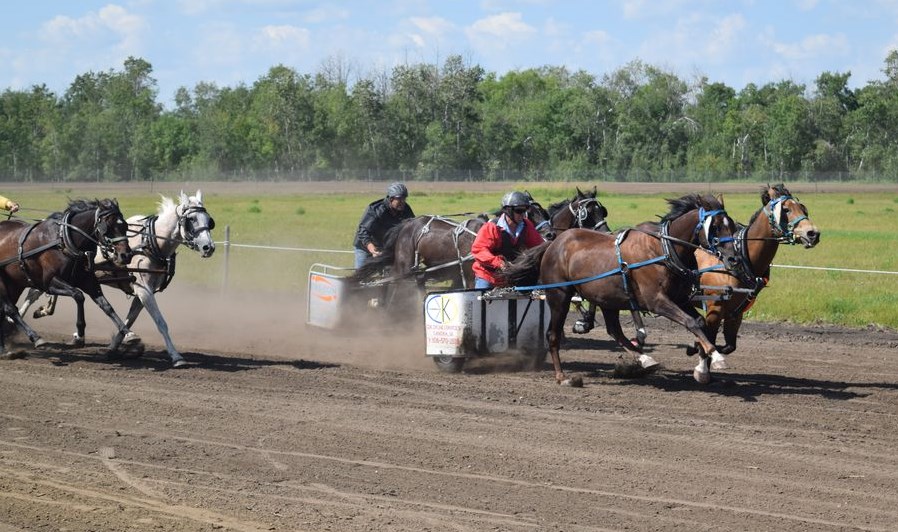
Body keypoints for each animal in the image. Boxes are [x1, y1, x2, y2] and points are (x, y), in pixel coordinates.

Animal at [0, 198, 133, 358]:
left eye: (125, 225)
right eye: (108, 226)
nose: (126, 255)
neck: (64, 240)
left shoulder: (87, 280)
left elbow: (106, 306)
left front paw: (128, 333)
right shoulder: (50, 283)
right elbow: (78, 295)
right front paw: (79, 335)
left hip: (15, 284)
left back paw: (4, 349)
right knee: (10, 309)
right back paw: (36, 338)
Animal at [18, 191, 215, 370]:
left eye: (209, 221)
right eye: (192, 219)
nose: (209, 247)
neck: (149, 243)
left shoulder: (143, 293)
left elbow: (128, 320)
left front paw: (116, 346)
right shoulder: (144, 290)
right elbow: (161, 323)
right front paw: (176, 357)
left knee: (39, 292)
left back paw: (44, 310)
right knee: (32, 294)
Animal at [504, 194, 744, 386]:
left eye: (732, 225)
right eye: (715, 227)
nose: (733, 258)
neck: (663, 251)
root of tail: (552, 244)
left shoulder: (680, 299)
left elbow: (700, 323)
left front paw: (702, 366)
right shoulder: (656, 301)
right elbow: (691, 322)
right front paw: (717, 357)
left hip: (607, 298)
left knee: (615, 331)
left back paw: (645, 359)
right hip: (559, 296)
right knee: (553, 335)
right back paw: (562, 376)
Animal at [688, 183, 820, 358]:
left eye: (803, 208)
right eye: (785, 210)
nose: (813, 233)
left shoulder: (735, 313)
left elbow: (729, 346)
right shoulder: (714, 309)